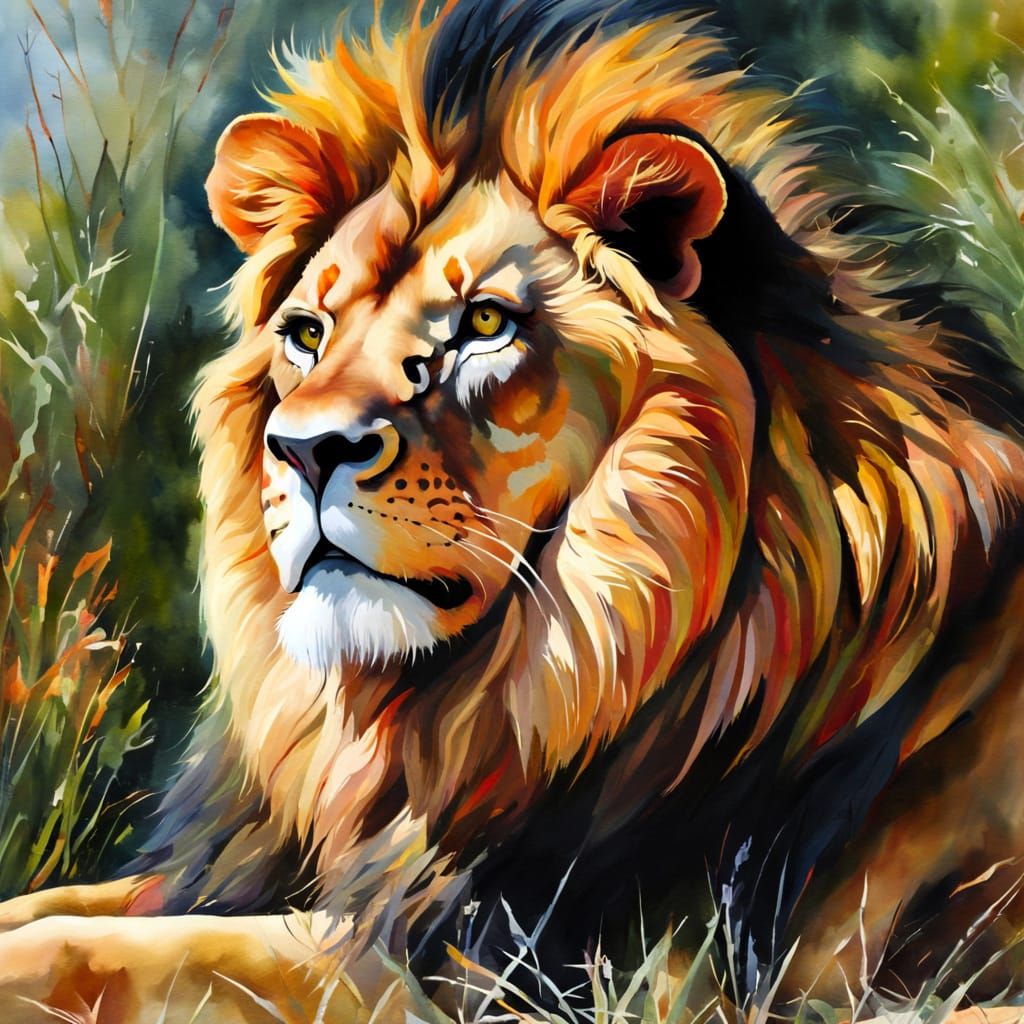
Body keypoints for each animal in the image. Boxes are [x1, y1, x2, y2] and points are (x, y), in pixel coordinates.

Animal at [3, 0, 1024, 1018]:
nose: (305, 449)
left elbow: (123, 951)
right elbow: (61, 910)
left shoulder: (520, 971)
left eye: (486, 324)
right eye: (306, 334)